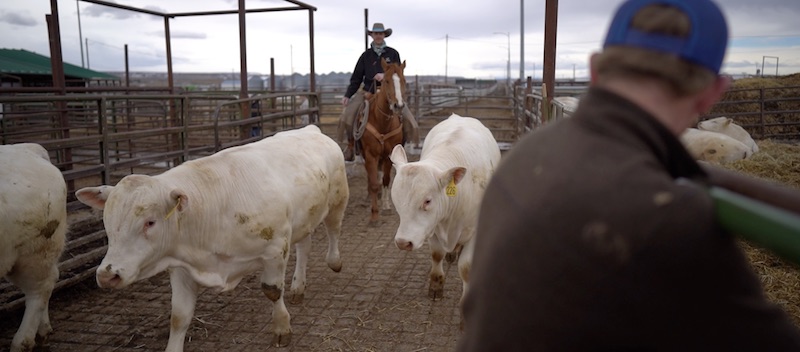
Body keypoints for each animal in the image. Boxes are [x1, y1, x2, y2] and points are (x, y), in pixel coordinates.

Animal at [76, 125, 348, 350]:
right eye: (107, 222)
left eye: (150, 222)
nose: (107, 275)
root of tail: (311, 129)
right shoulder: (181, 267)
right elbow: (179, 316)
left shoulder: (275, 248)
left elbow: (272, 291)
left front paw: (281, 327)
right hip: (304, 219)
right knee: (304, 247)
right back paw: (298, 286)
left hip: (337, 201)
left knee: (334, 231)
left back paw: (334, 261)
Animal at [358, 58, 406, 221]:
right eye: (386, 80)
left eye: (403, 80)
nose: (398, 106)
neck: (383, 123)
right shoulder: (371, 155)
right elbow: (373, 182)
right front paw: (374, 214)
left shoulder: (389, 154)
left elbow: (386, 179)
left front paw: (386, 205)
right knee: (370, 176)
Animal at [390, 113, 500, 310]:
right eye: (396, 199)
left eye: (427, 201)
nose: (403, 242)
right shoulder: (432, 226)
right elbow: (436, 254)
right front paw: (436, 285)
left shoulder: (475, 230)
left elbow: (466, 268)